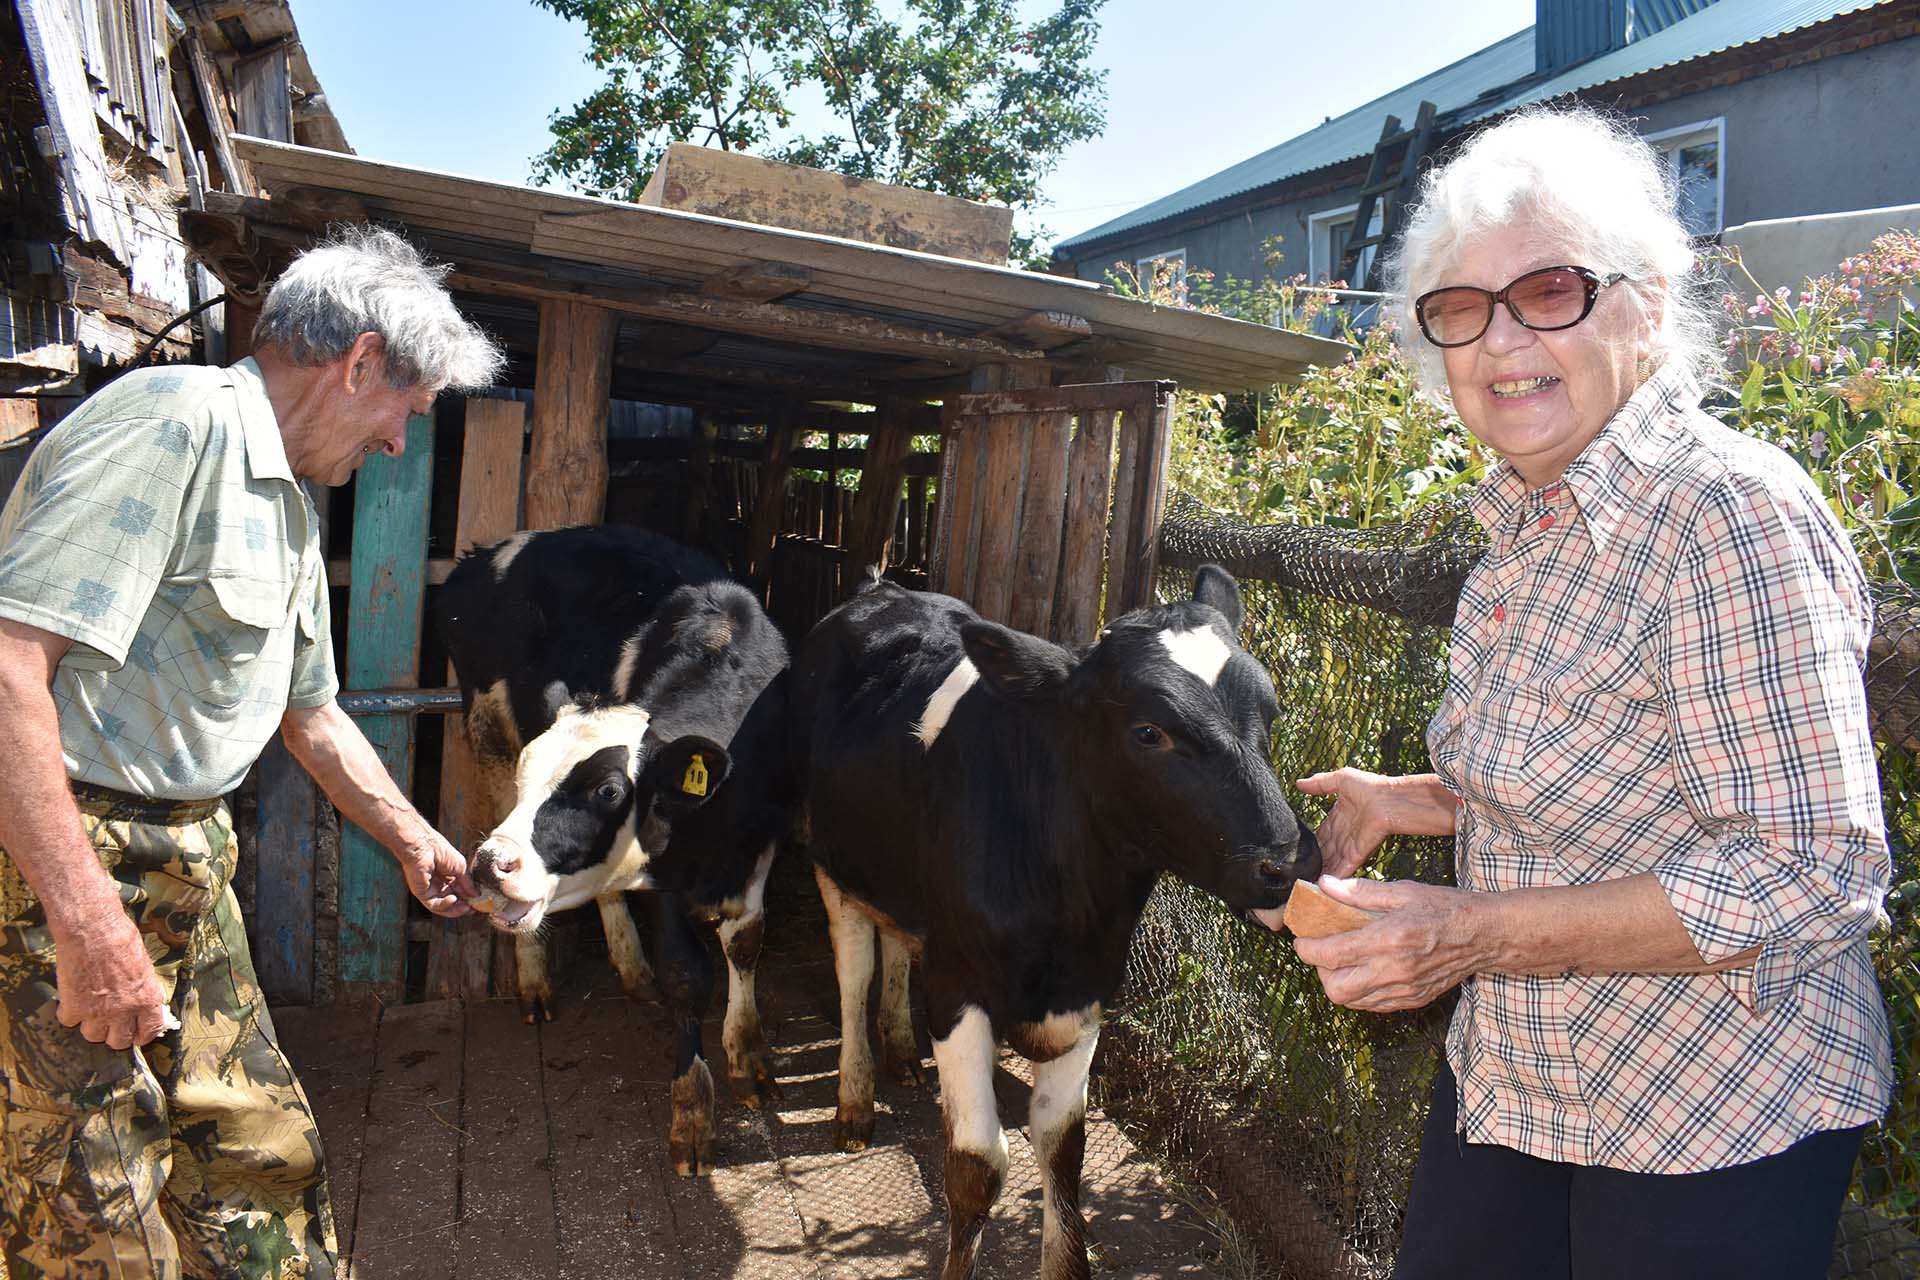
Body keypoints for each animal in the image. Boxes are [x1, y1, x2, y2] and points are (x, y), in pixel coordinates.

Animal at [439, 525, 791, 1174]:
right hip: (487, 730)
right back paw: (535, 981)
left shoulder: (764, 837)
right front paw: (692, 1113)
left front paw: (748, 1052)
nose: (488, 865)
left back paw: (631, 969)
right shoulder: (661, 873)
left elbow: (746, 942)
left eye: (608, 790)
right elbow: (686, 972)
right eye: (530, 777)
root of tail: (488, 553)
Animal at [791, 571, 1320, 1280]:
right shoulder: (958, 986)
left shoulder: (1089, 990)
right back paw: (853, 1103)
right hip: (829, 856)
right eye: (1148, 732)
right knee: (853, 970)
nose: (1289, 860)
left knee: (897, 943)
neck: (1068, 916)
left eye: (1271, 711)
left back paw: (901, 1050)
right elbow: (976, 1166)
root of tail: (885, 590)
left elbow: (1063, 1150)